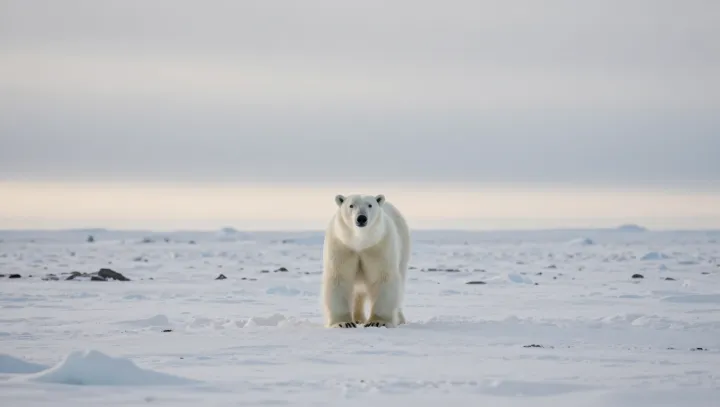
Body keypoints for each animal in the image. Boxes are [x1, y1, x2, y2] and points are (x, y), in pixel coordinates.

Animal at [321, 193, 411, 328]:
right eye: (351, 205)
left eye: (370, 205)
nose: (361, 218)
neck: (360, 242)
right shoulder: (342, 246)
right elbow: (339, 277)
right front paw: (343, 323)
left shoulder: (378, 246)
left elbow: (382, 278)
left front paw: (378, 321)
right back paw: (358, 319)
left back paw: (400, 319)